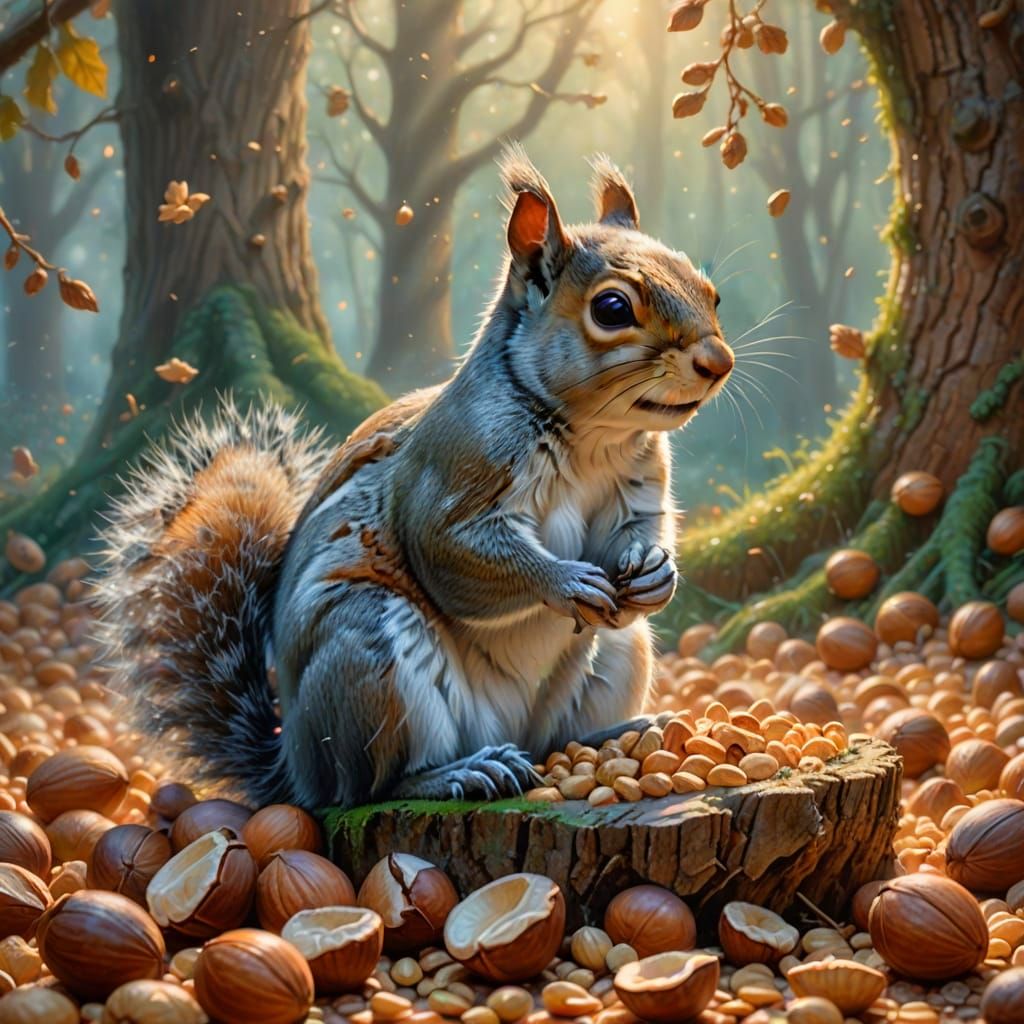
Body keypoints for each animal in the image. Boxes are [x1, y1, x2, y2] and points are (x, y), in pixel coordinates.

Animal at [95, 147, 734, 810]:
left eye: (711, 293)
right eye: (612, 309)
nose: (719, 362)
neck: (593, 439)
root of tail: (295, 767)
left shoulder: (638, 485)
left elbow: (641, 528)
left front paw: (657, 573)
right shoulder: (453, 473)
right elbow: (451, 554)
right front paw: (564, 580)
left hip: (615, 654)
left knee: (559, 739)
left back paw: (622, 733)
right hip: (371, 658)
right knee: (374, 786)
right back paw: (461, 773)